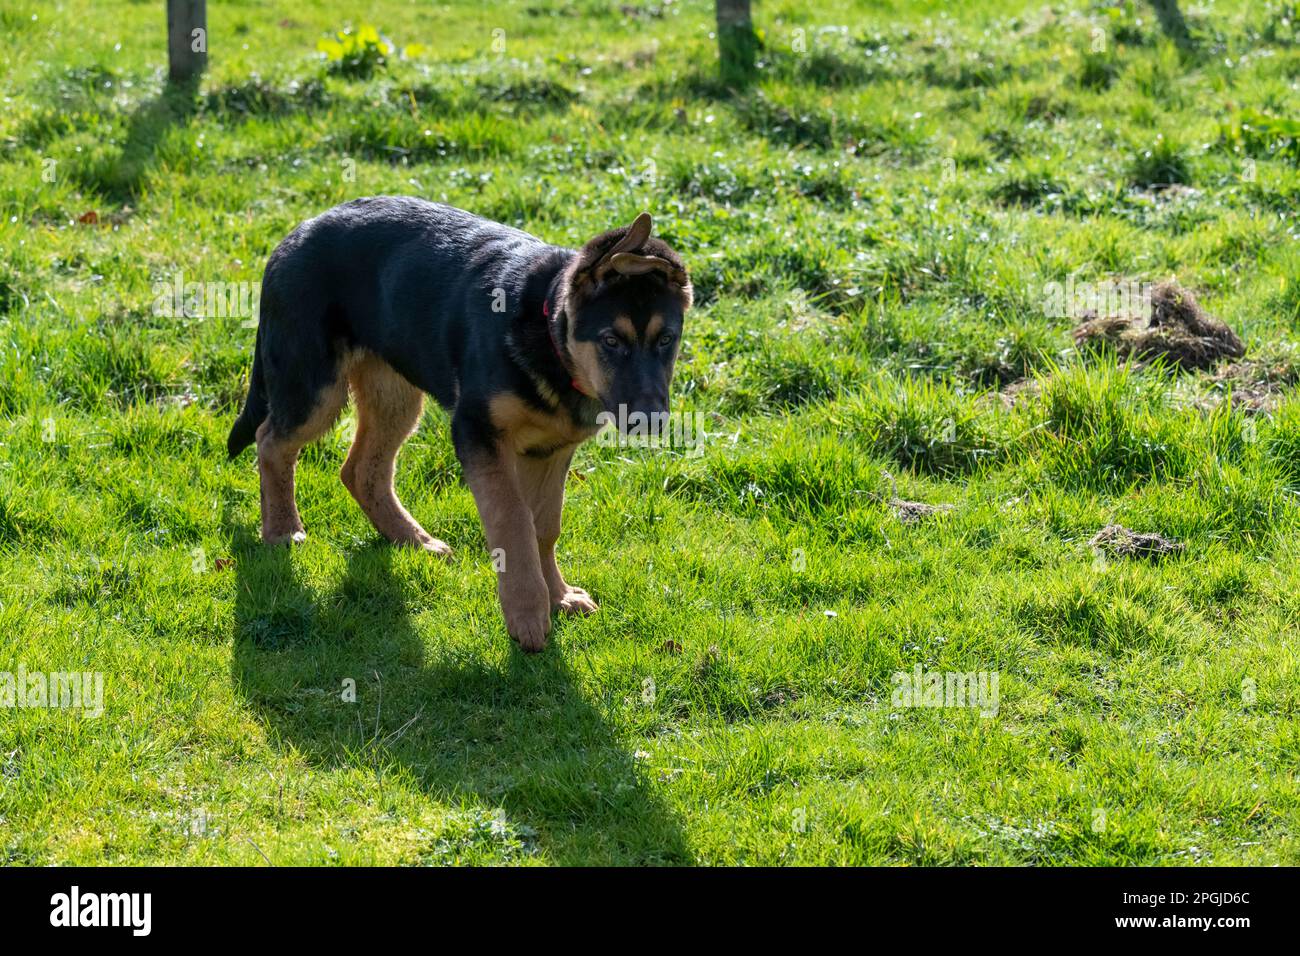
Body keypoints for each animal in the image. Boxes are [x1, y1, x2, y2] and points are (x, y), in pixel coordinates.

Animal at [226, 199, 691, 655]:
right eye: (611, 341)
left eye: (666, 340)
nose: (651, 421)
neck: (550, 338)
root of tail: (294, 235)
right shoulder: (478, 433)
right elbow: (513, 522)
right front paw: (527, 614)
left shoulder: (551, 452)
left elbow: (545, 527)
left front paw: (557, 596)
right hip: (314, 386)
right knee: (271, 442)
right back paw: (283, 531)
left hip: (394, 394)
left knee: (360, 470)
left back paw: (411, 539)